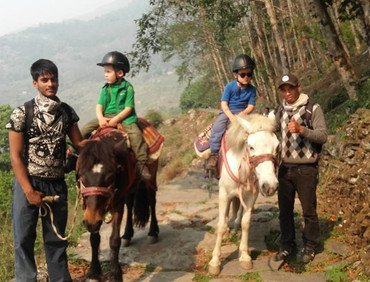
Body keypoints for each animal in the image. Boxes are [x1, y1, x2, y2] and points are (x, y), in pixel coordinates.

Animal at [76, 129, 159, 280]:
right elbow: (94, 239)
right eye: (82, 178)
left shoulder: (117, 204)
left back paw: (152, 232)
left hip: (151, 173)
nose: (91, 222)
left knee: (152, 200)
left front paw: (115, 274)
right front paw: (93, 271)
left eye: (109, 178)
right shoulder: (90, 212)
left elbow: (114, 240)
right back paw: (127, 234)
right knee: (130, 203)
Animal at [210, 113, 278, 274]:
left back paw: (235, 226)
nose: (270, 186)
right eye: (251, 146)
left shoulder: (250, 197)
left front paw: (245, 256)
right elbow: (220, 225)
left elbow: (246, 223)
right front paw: (215, 261)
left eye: (277, 146)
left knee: (238, 211)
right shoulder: (224, 194)